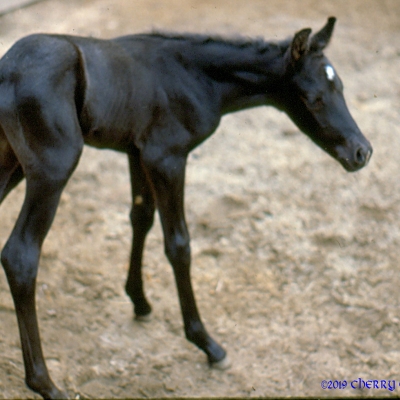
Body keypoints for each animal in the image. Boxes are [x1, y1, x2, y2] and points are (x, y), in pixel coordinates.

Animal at [0, 17, 372, 398]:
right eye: (314, 99)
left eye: (341, 87)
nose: (361, 152)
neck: (192, 74)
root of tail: (7, 70)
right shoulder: (167, 157)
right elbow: (179, 245)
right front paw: (207, 343)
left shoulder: (138, 153)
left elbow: (140, 218)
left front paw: (139, 301)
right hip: (52, 170)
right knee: (20, 256)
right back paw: (45, 383)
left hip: (10, 163)